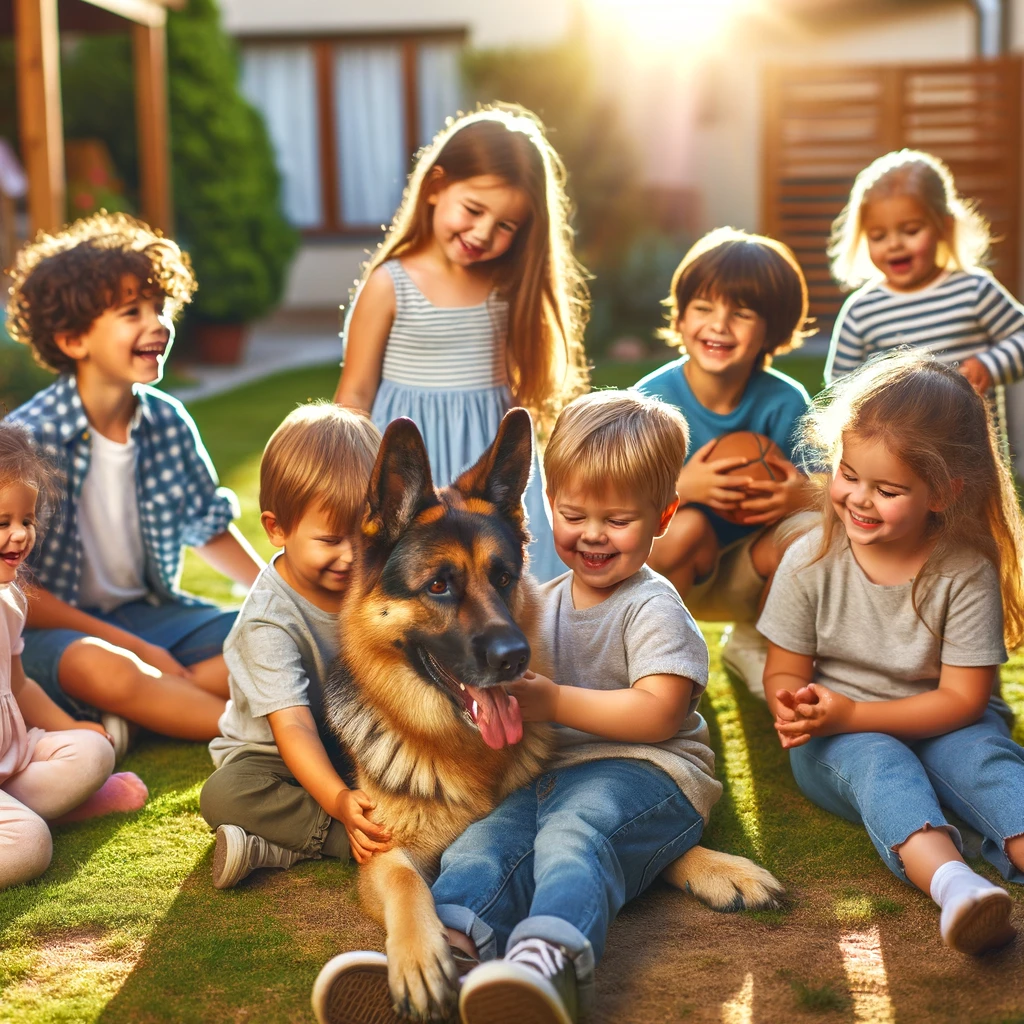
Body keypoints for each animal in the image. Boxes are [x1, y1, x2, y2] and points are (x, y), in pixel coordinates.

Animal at [319, 409, 782, 1024]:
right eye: (439, 585)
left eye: (504, 578)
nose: (515, 657)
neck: (464, 754)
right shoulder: (379, 854)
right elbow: (405, 884)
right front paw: (419, 959)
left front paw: (722, 867)